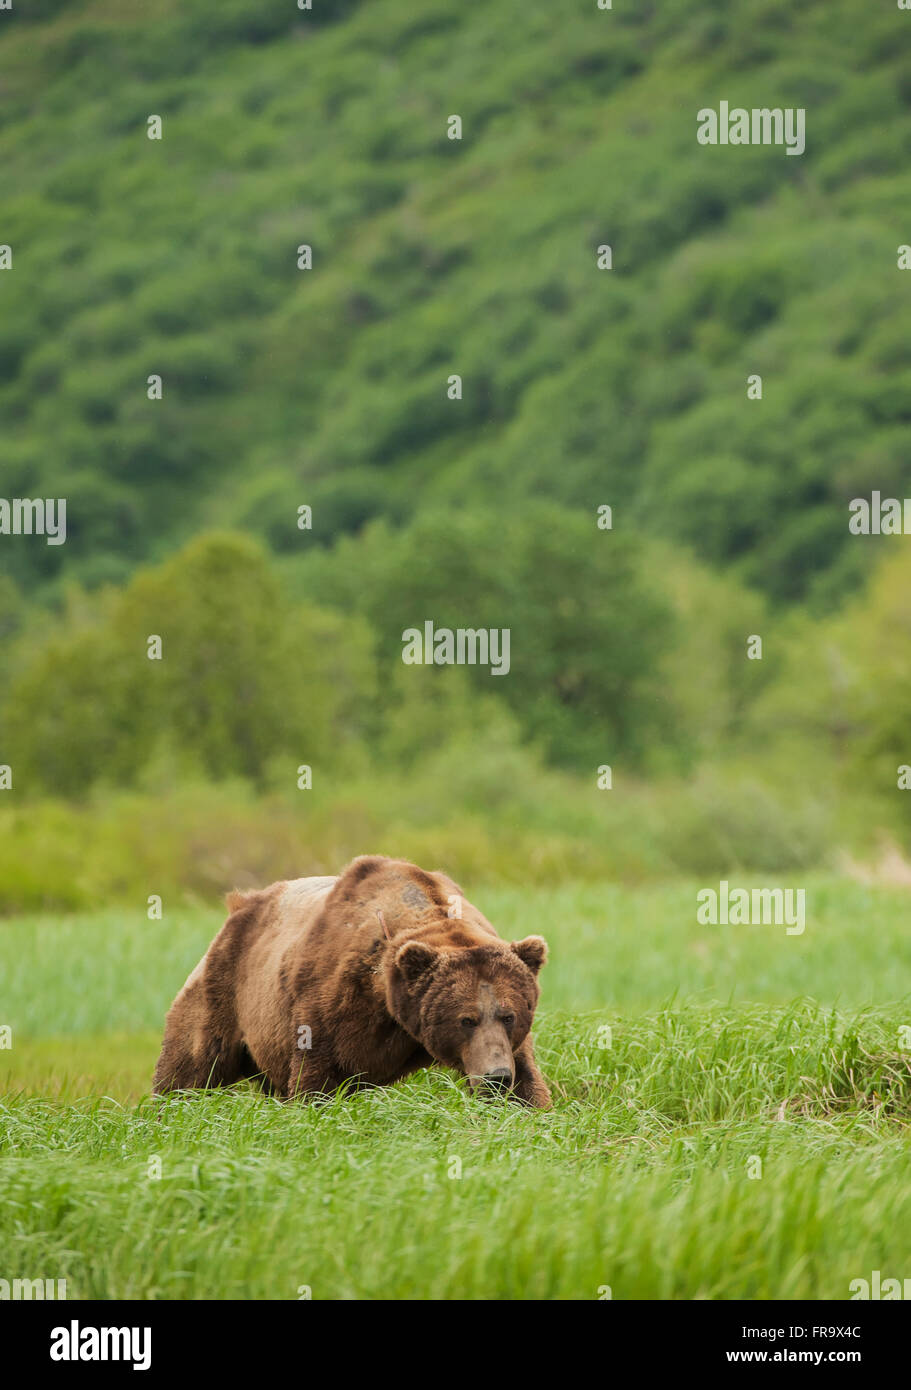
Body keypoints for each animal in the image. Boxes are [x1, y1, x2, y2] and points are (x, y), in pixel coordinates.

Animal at [152, 850, 553, 1100]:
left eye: (509, 1015)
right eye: (466, 1019)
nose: (495, 1077)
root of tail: (239, 906)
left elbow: (527, 1082)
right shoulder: (330, 999)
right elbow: (316, 1077)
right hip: (225, 990)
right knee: (188, 1067)